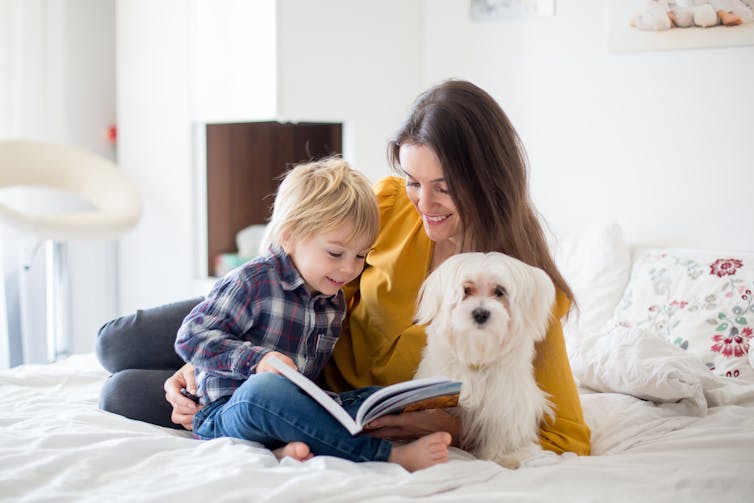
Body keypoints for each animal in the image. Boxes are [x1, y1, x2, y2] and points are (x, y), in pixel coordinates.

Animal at [414, 254, 556, 470]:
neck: (478, 354)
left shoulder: (505, 402)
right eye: (466, 290)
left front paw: (500, 457)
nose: (481, 313)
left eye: (499, 291)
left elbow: (501, 429)